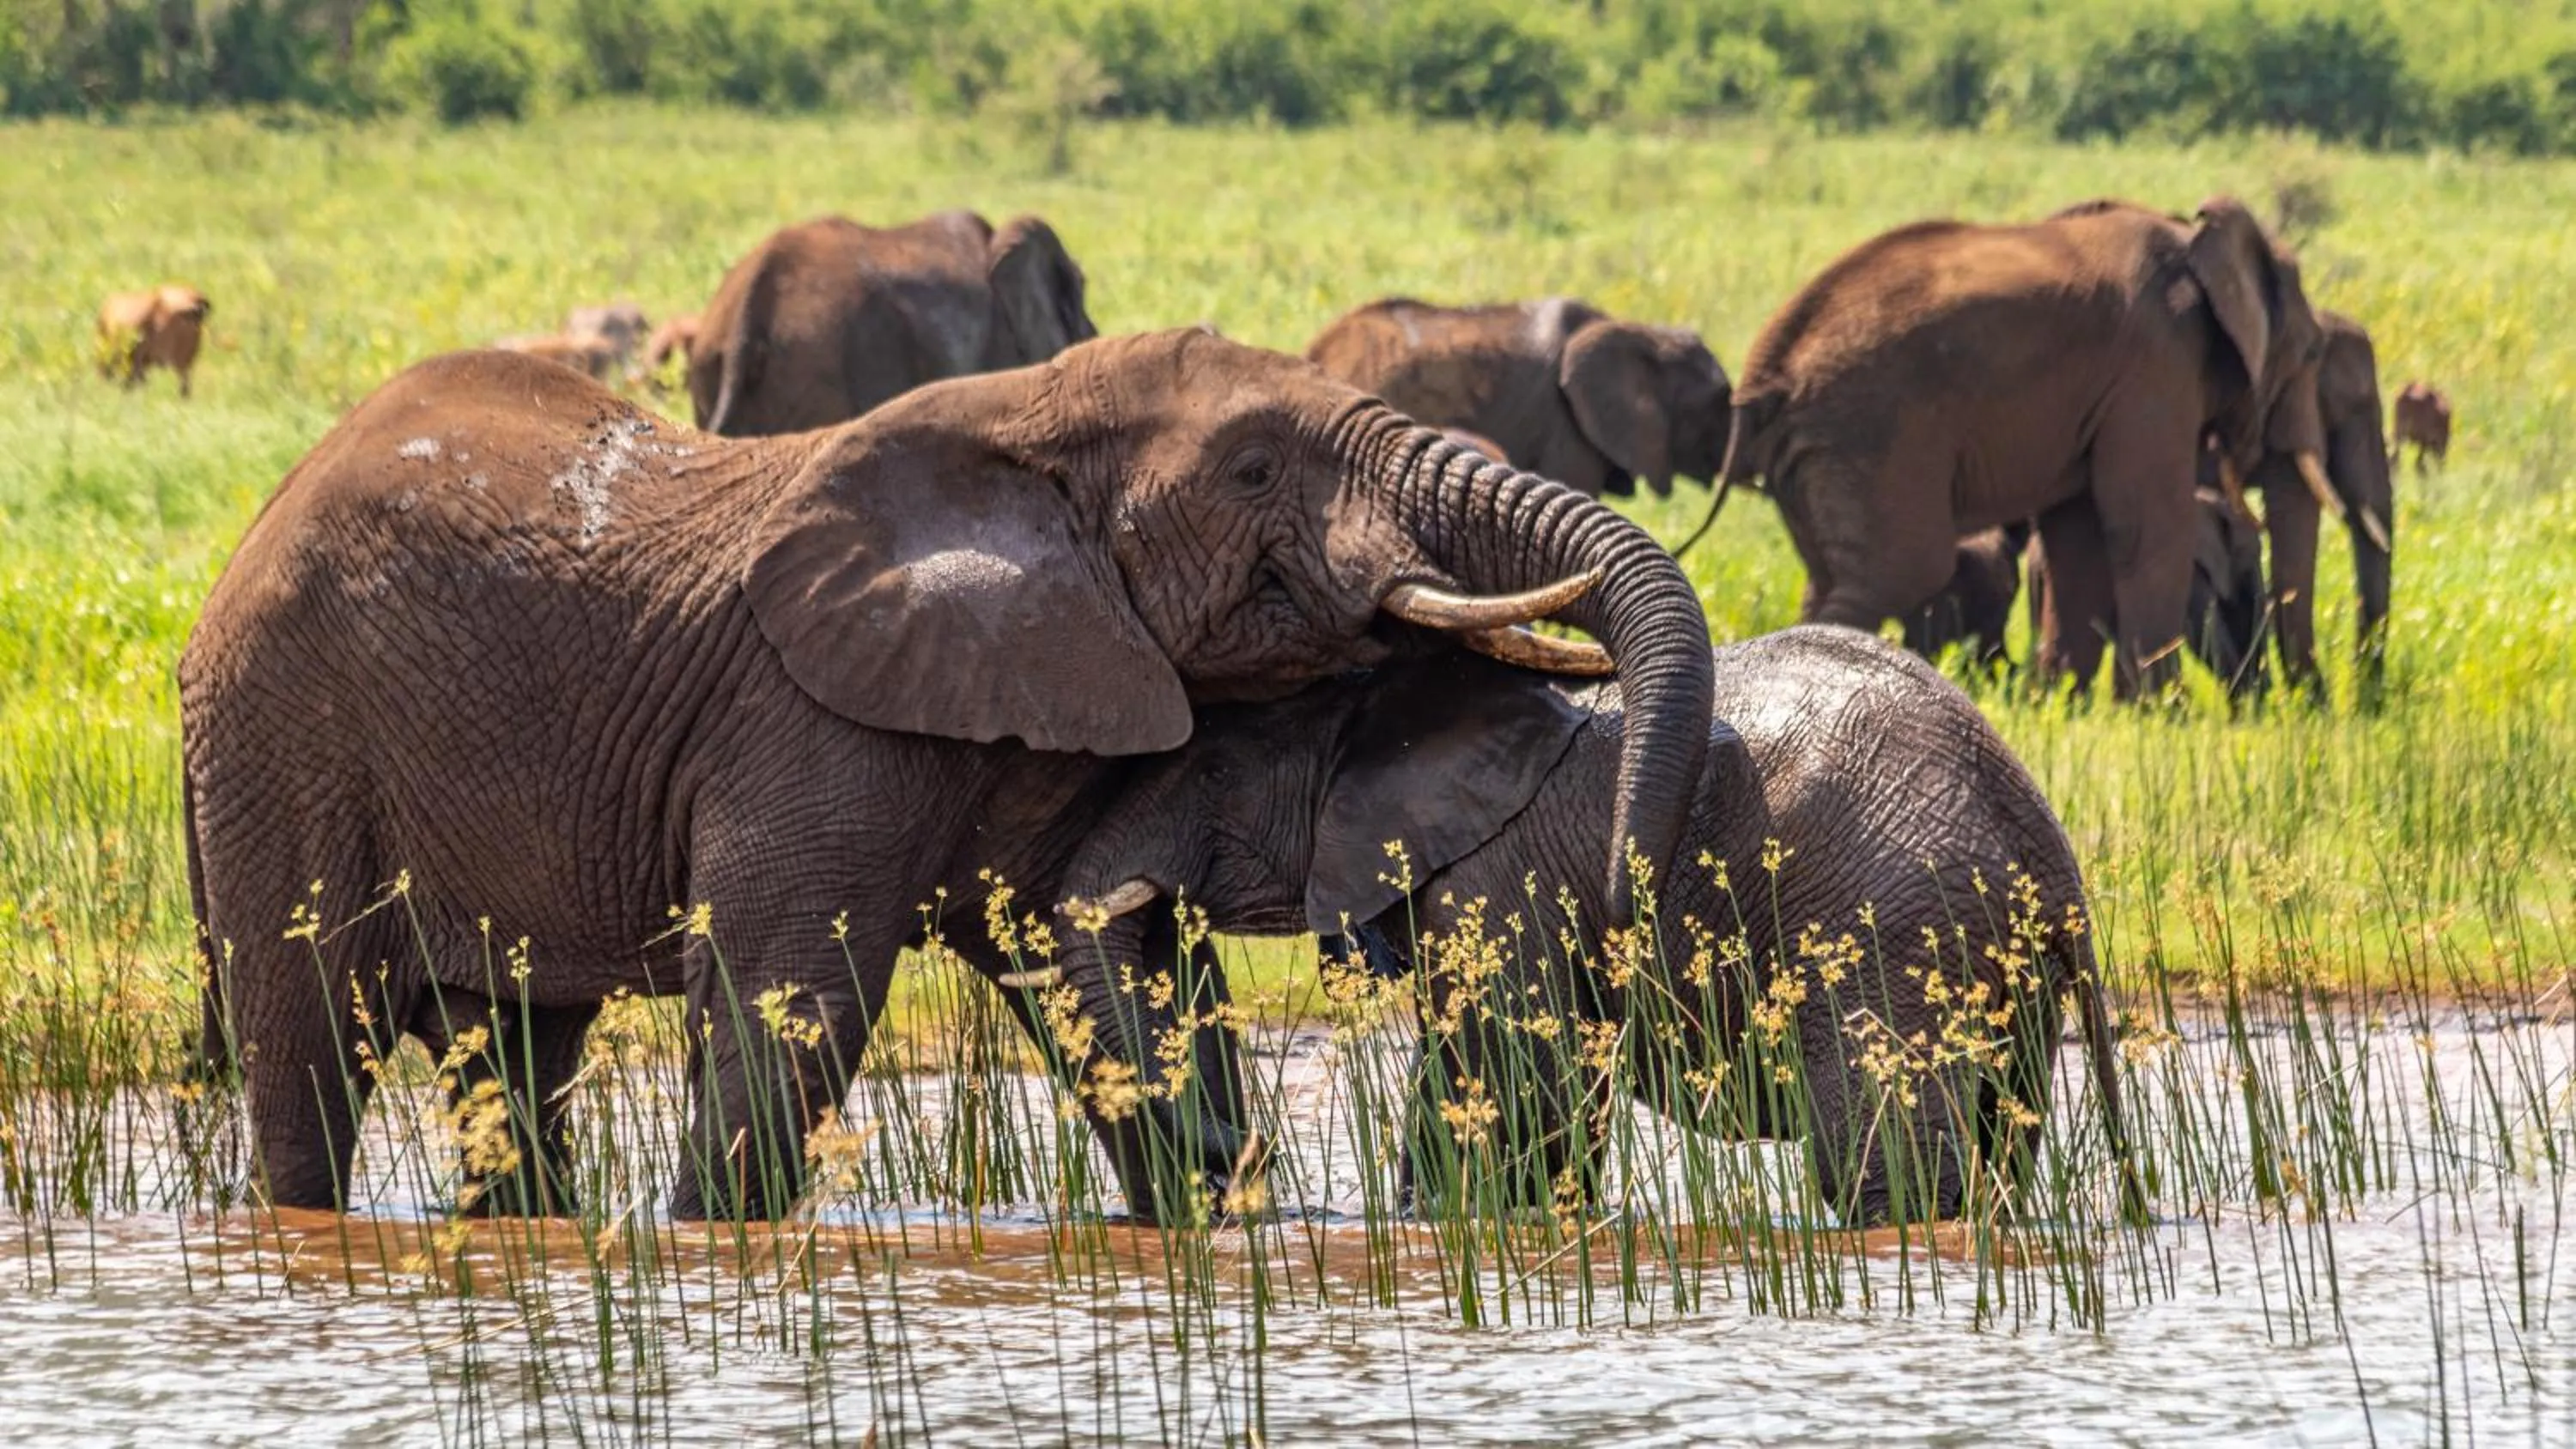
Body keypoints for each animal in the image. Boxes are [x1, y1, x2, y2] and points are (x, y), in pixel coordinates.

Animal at [178, 329, 1717, 1222]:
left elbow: (1108, 958)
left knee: (512, 1046)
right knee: (307, 1043)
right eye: (1254, 468)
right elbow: (797, 996)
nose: (1633, 884)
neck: (1020, 421)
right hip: (282, 734)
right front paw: (706, 1242)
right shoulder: (810, 714)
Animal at [1050, 630, 2131, 1224]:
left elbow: (1518, 1081)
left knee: (1879, 1157)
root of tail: (2046, 848)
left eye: (1213, 769)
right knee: (2001, 1133)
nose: (1243, 1153)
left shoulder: (1496, 876)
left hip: (1889, 924)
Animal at [1704, 197, 2343, 698]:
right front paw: (2165, 713)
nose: (2305, 704)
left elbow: (2078, 536)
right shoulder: (2157, 366)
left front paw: (2066, 704)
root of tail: (1765, 374)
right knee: (1902, 570)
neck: (2195, 240)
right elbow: (2147, 524)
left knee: (1828, 576)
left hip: (1821, 451)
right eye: (2313, 353)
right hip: (1870, 434)